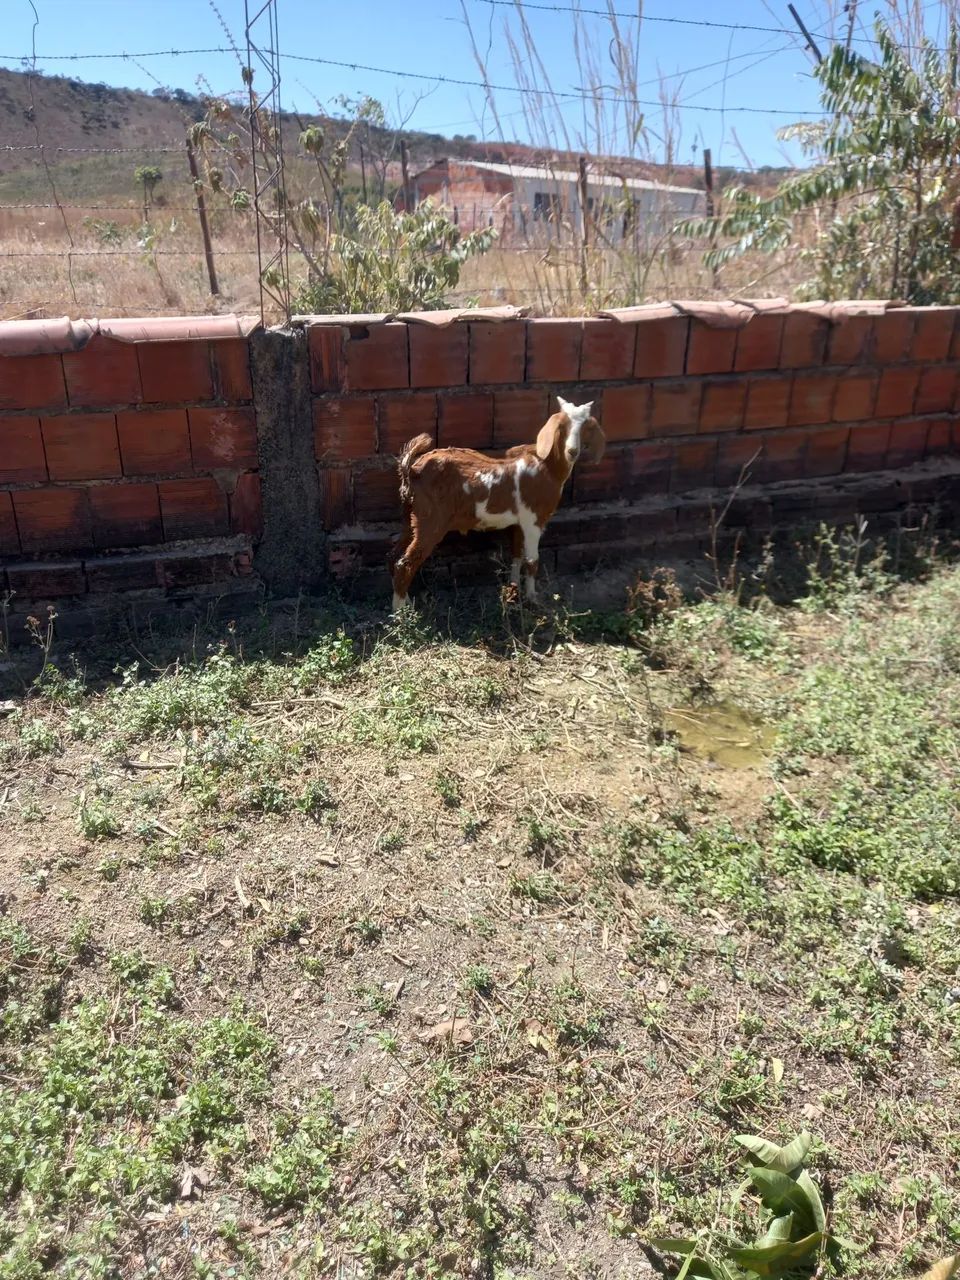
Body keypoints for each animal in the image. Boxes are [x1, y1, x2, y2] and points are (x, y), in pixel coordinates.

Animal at [391, 396, 605, 611]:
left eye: (586, 427)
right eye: (561, 426)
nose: (572, 451)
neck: (546, 465)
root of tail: (412, 471)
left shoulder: (519, 522)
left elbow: (517, 555)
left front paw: (513, 591)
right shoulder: (534, 520)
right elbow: (532, 561)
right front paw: (532, 600)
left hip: (410, 517)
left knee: (397, 556)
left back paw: (406, 604)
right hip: (430, 521)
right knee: (405, 564)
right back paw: (401, 613)